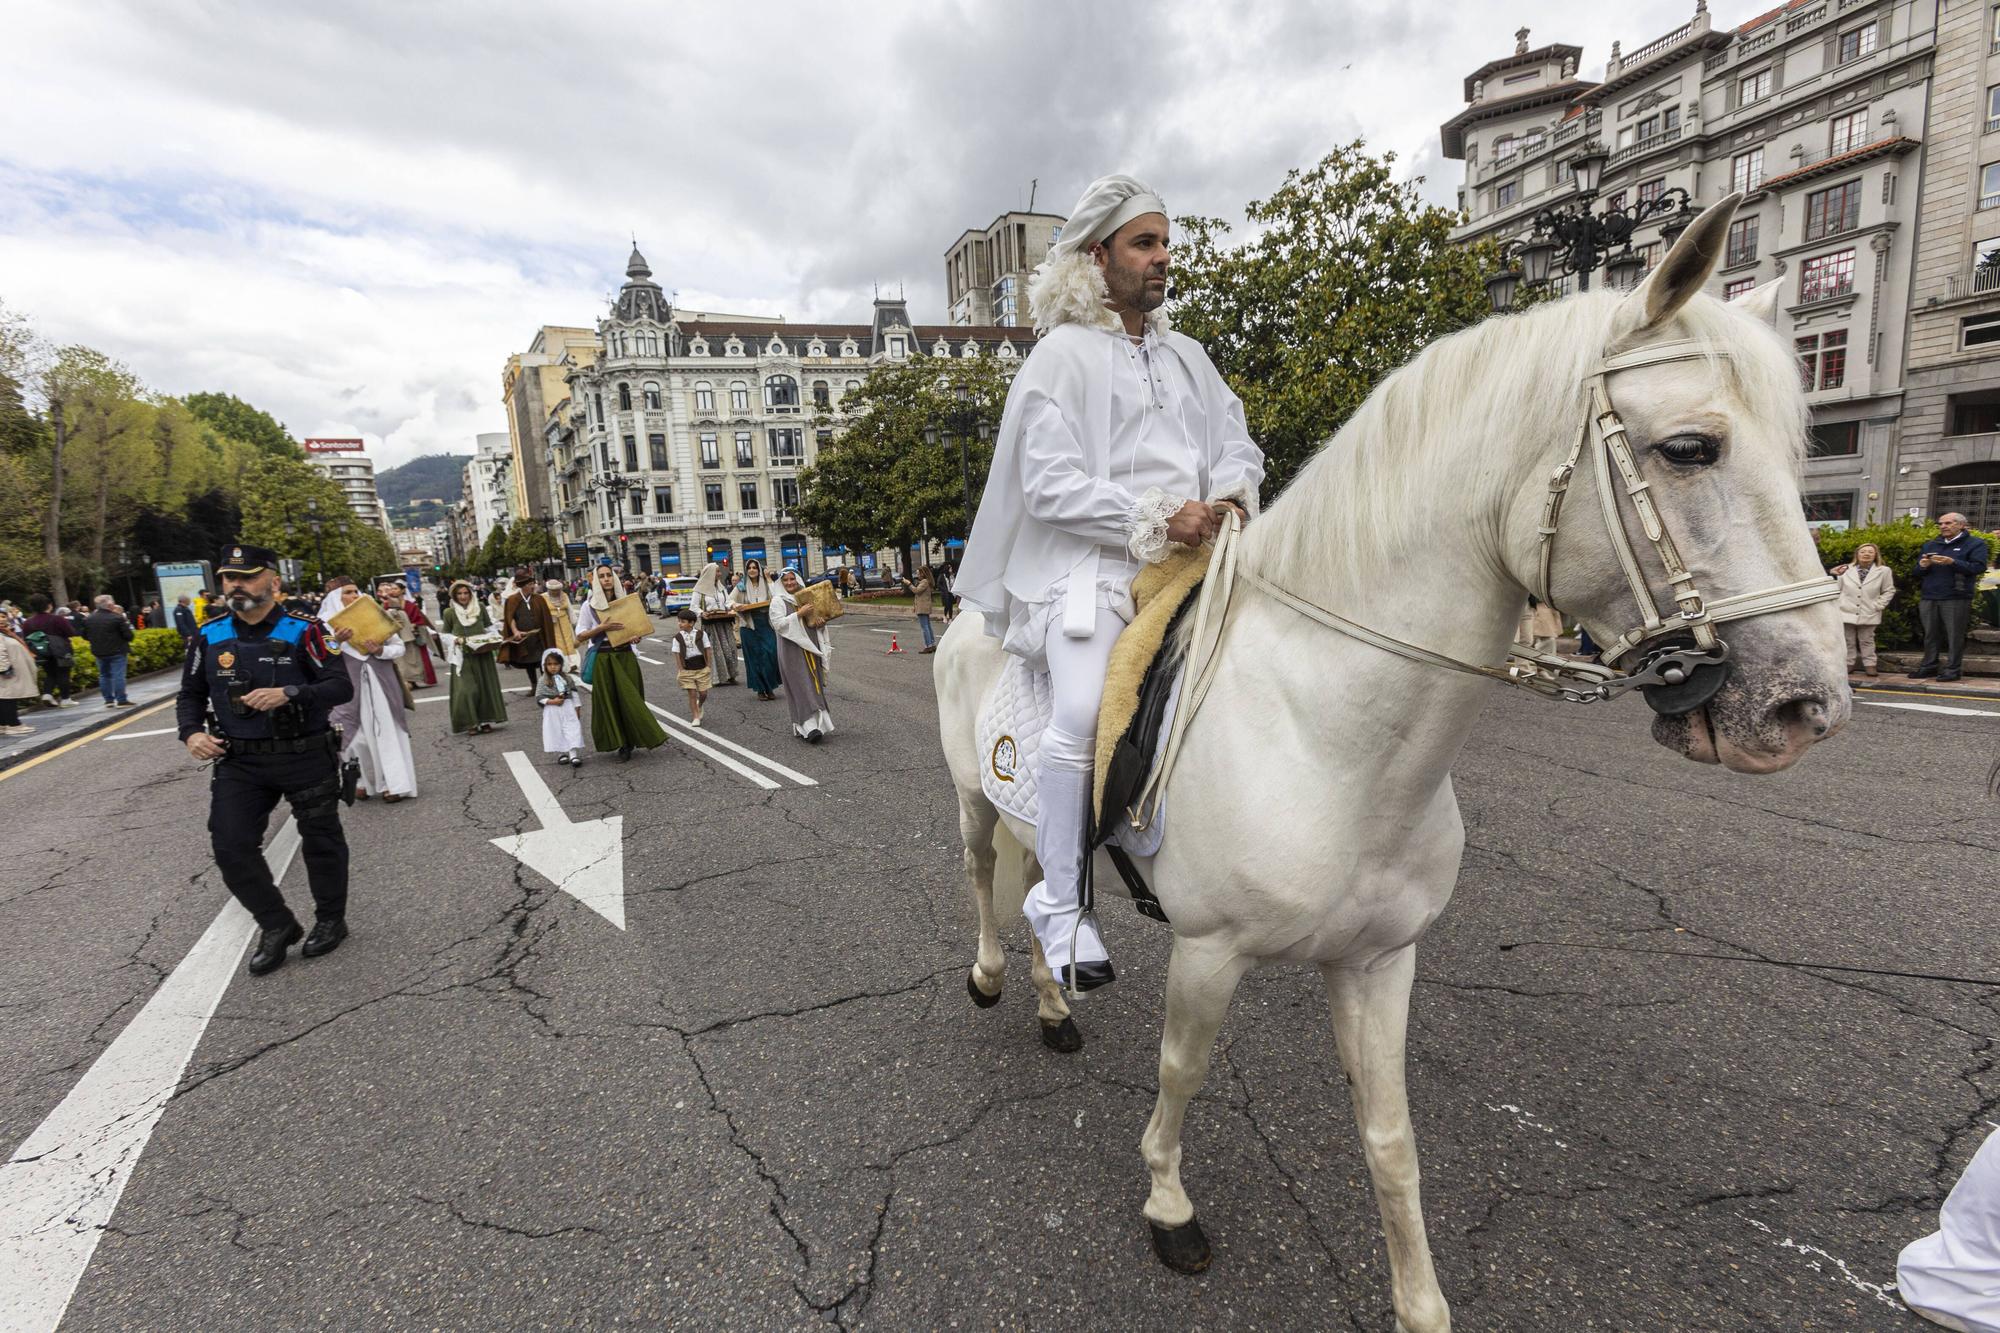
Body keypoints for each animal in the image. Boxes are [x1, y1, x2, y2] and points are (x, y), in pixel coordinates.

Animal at [932, 200, 1840, 1328]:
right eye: (1689, 448)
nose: (1804, 704)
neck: (1331, 738)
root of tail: (963, 610)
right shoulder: (1208, 950)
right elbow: (1182, 1072)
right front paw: (1169, 1207)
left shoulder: (1377, 959)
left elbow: (1391, 1140)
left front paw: (1419, 1301)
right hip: (975, 796)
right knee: (986, 878)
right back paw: (989, 977)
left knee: (1034, 884)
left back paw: (1055, 1000)